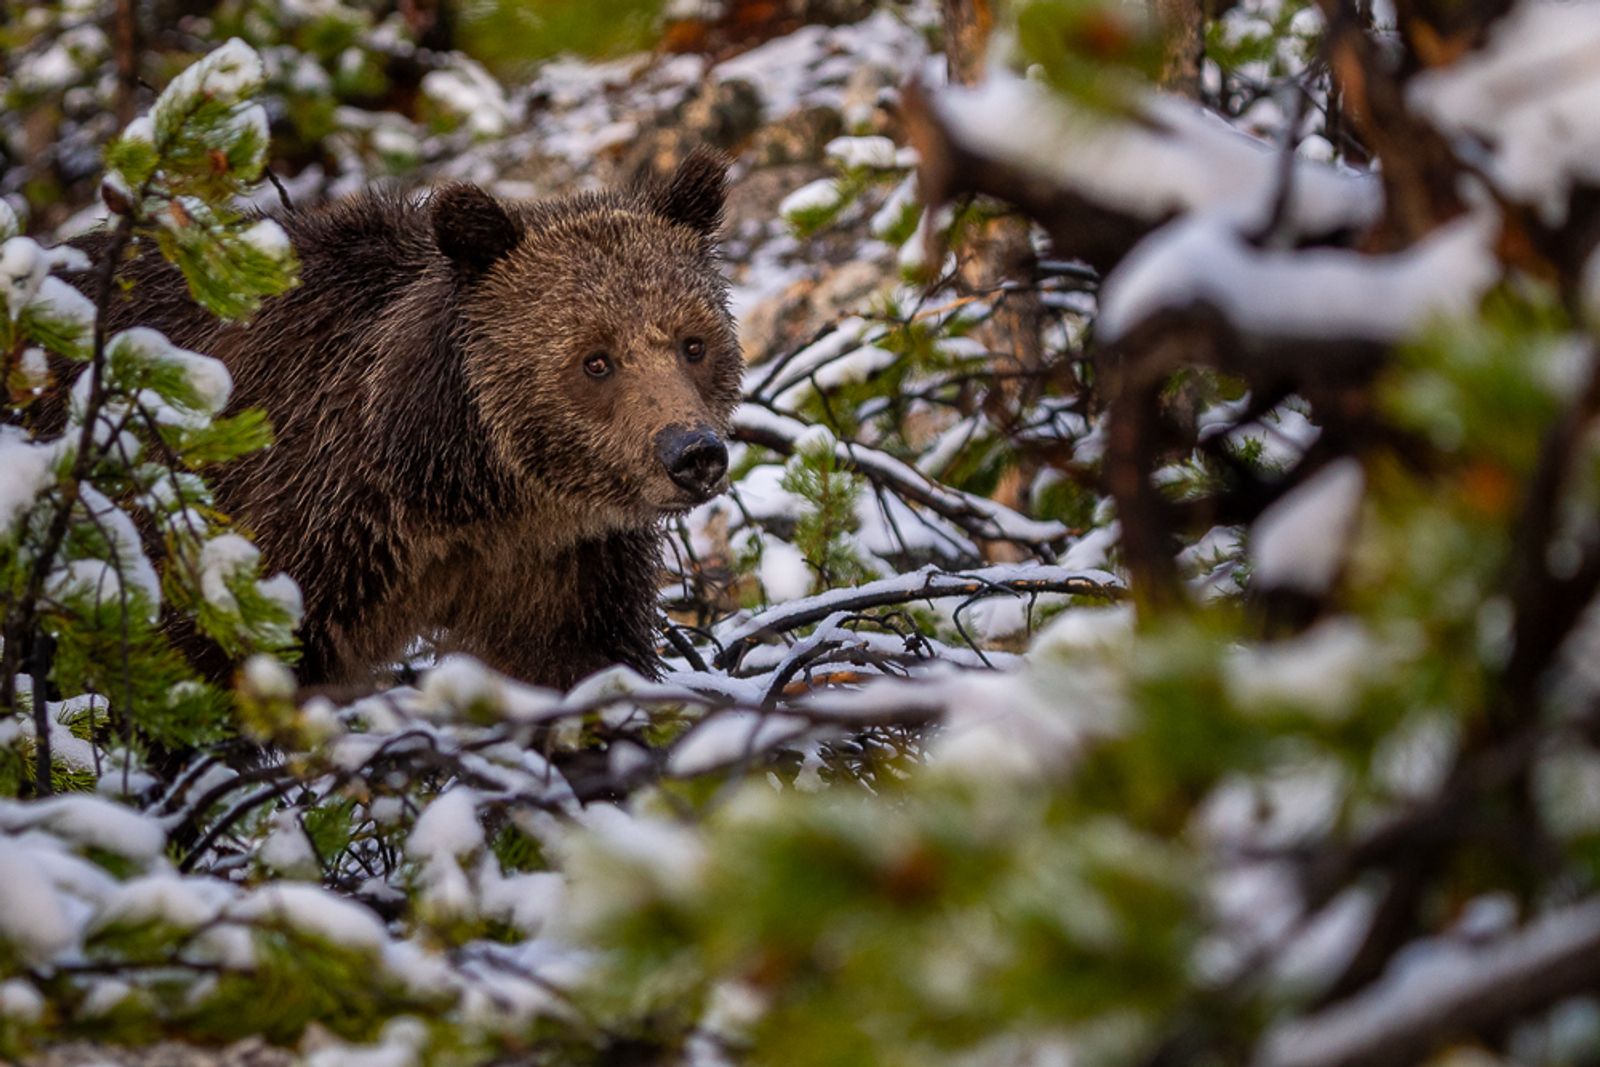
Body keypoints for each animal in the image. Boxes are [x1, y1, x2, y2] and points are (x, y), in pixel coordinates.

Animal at [72, 149, 742, 690]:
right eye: (596, 359)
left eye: (693, 343)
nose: (692, 453)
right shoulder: (290, 519)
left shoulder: (564, 567)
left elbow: (575, 667)